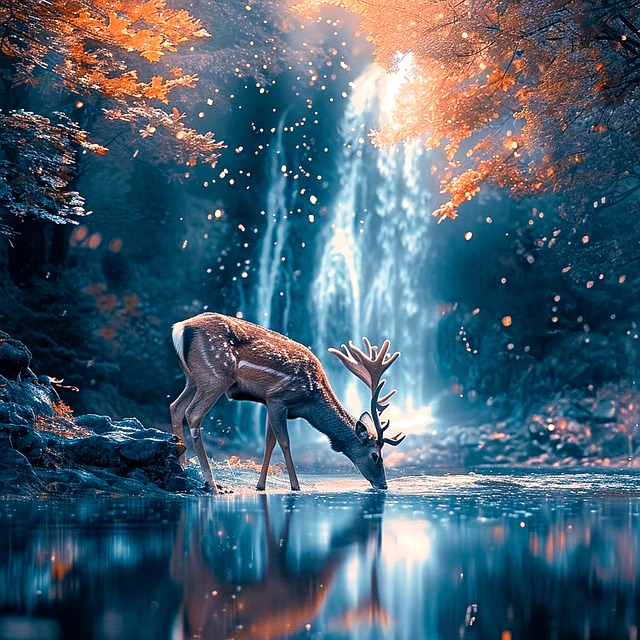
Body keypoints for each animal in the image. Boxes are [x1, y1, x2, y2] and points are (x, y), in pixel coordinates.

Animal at [169, 312, 405, 493]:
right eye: (375, 456)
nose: (383, 485)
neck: (310, 401)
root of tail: (179, 328)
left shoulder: (269, 402)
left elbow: (269, 442)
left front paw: (260, 486)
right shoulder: (279, 397)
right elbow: (284, 442)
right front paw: (296, 486)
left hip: (193, 378)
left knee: (176, 407)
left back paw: (182, 465)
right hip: (215, 376)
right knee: (193, 414)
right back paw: (211, 483)